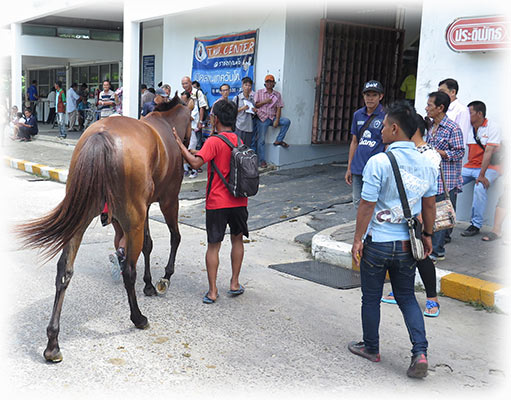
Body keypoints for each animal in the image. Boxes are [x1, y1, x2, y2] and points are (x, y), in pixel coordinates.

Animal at [17, 94, 192, 362]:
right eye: (193, 120)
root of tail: (100, 135)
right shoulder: (167, 201)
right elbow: (174, 238)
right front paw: (163, 278)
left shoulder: (142, 210)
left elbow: (148, 245)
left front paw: (149, 284)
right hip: (132, 218)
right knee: (128, 270)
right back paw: (138, 318)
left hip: (82, 217)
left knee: (64, 271)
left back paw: (52, 343)